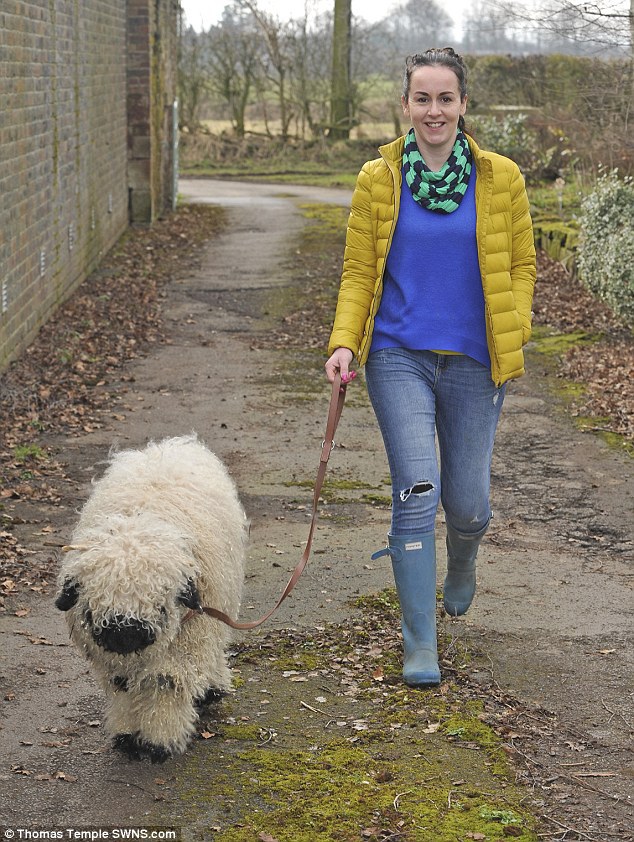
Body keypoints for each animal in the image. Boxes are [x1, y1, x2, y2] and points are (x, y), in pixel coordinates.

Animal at [55, 434, 246, 760]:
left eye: (160, 603)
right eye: (94, 604)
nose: (124, 632)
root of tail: (170, 445)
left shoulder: (187, 637)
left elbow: (165, 684)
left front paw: (160, 741)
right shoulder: (114, 661)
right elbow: (124, 688)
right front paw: (127, 734)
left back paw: (214, 686)